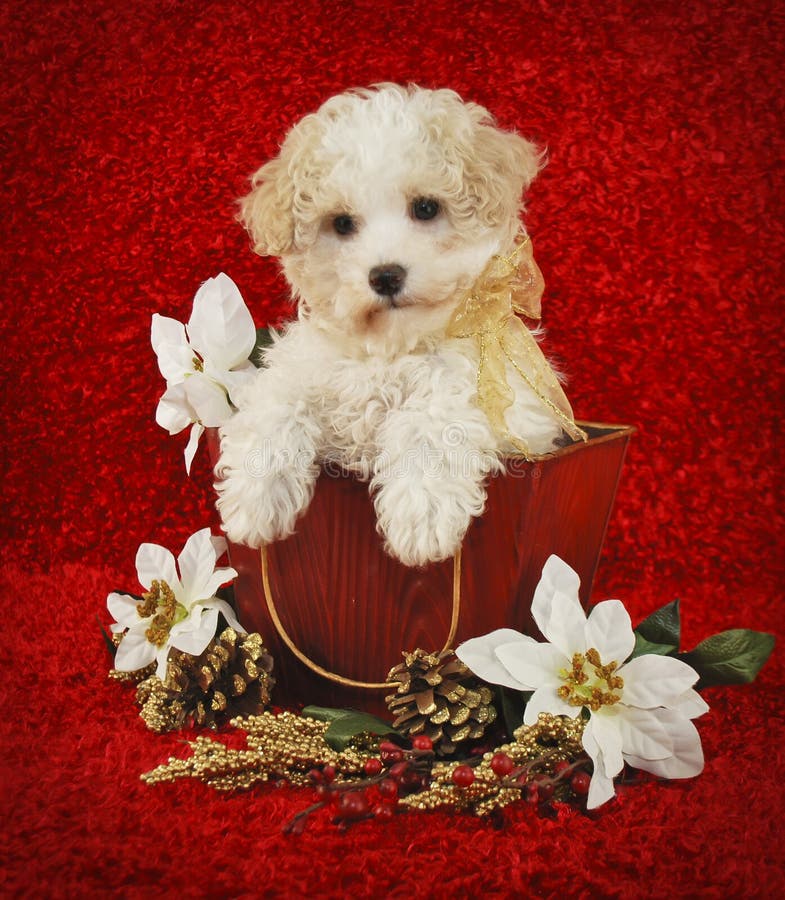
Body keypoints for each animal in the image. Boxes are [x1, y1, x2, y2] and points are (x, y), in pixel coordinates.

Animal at [217, 82, 568, 564]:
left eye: (426, 208)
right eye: (342, 223)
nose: (385, 275)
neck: (391, 347)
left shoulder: (484, 393)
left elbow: (433, 422)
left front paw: (422, 518)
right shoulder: (306, 367)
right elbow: (275, 405)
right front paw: (253, 499)